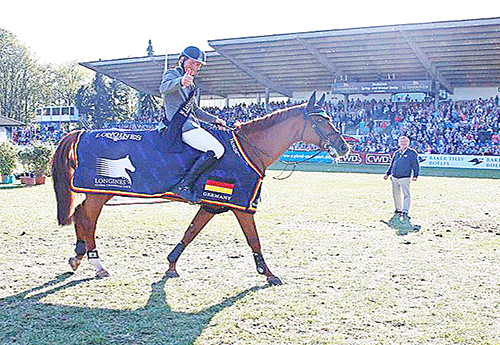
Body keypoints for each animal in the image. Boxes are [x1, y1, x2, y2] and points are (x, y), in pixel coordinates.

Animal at [50, 90, 348, 284]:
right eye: (320, 120)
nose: (344, 147)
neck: (249, 148)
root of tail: (83, 131)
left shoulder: (212, 204)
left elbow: (191, 232)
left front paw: (171, 264)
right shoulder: (241, 206)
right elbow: (253, 239)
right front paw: (269, 274)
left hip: (98, 193)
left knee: (81, 216)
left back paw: (79, 257)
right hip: (101, 192)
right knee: (87, 220)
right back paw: (96, 263)